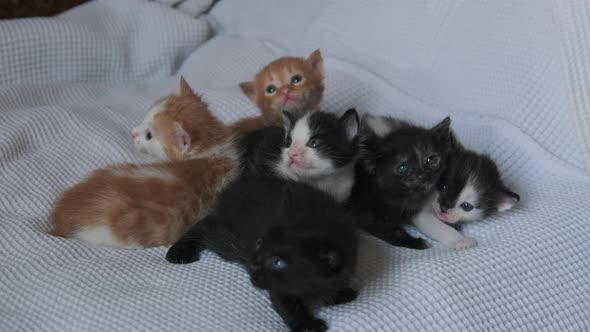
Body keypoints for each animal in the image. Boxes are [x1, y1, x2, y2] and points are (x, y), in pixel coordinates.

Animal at [168, 176, 360, 332]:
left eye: (278, 262)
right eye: (259, 243)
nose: (253, 263)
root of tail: (234, 187)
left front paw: (339, 293)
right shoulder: (277, 287)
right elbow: (287, 304)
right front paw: (307, 324)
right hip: (228, 239)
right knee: (205, 224)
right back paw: (179, 251)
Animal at [346, 116, 454, 249]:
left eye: (431, 159)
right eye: (403, 167)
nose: (421, 175)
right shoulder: (366, 211)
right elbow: (391, 230)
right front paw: (416, 242)